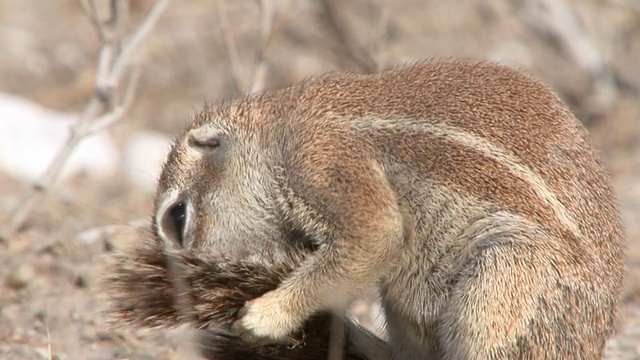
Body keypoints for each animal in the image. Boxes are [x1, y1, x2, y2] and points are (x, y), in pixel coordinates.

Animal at [149, 60, 620, 358]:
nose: (183, 285)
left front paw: (263, 316)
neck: (273, 138)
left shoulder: (323, 161)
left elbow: (375, 235)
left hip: (502, 280)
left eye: (177, 217)